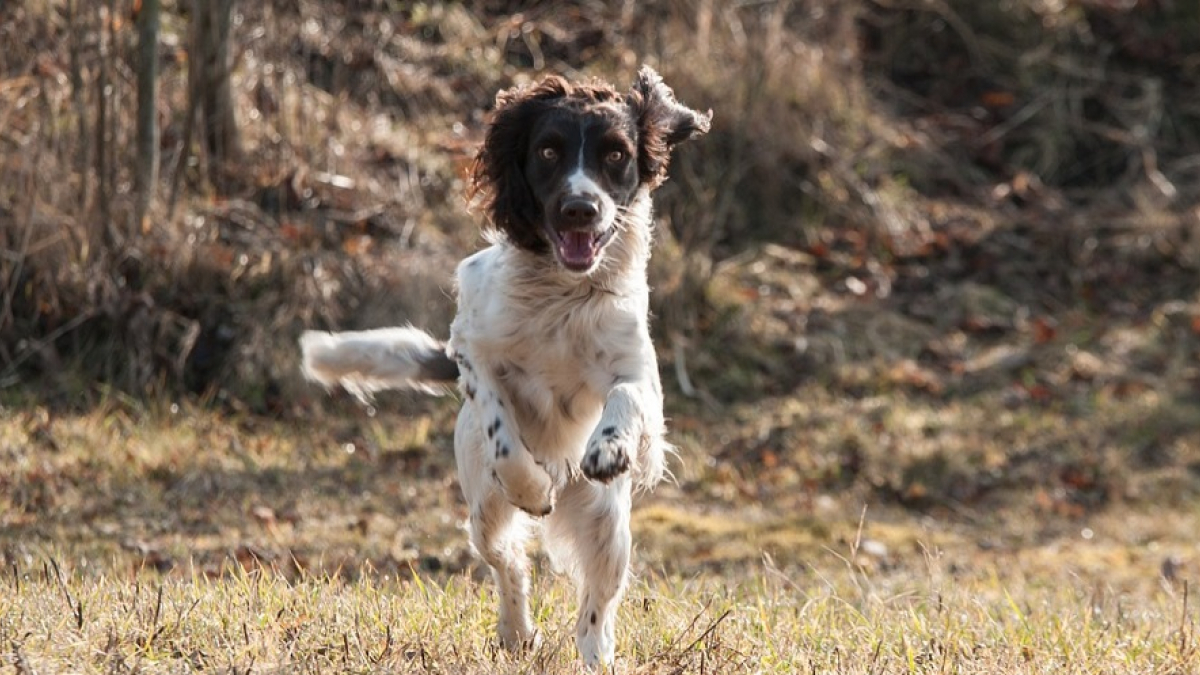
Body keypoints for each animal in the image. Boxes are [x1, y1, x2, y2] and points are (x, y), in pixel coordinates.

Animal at [302, 65, 710, 662]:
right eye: (548, 151)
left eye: (615, 154)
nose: (580, 209)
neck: (562, 293)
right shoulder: (472, 347)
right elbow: (503, 432)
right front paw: (534, 489)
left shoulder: (639, 371)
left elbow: (625, 397)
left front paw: (608, 446)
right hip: (482, 511)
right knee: (507, 562)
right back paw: (517, 630)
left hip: (608, 526)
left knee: (596, 609)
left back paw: (596, 659)